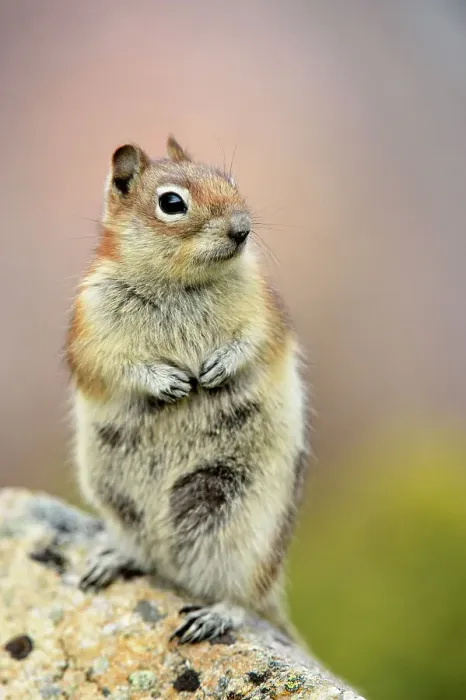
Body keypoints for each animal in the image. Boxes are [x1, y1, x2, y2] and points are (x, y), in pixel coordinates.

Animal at [66, 136, 309, 644]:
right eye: (172, 203)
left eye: (230, 179)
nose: (242, 229)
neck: (180, 283)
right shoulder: (92, 330)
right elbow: (116, 366)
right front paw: (169, 381)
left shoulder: (264, 312)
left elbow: (254, 343)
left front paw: (218, 368)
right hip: (118, 502)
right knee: (149, 554)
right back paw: (113, 561)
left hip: (238, 524)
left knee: (242, 596)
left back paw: (214, 616)